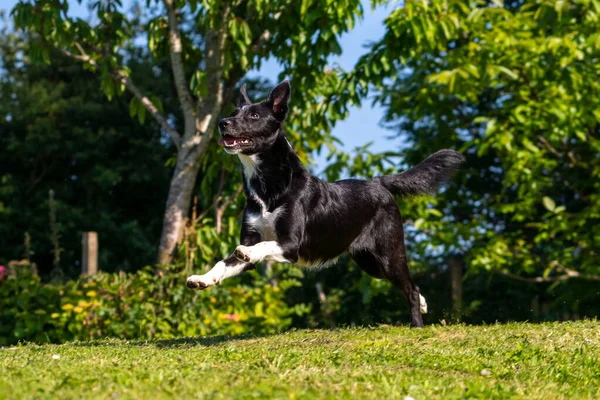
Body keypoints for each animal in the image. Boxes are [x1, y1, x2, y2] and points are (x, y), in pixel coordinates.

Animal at [186, 79, 464, 326]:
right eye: (234, 112)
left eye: (254, 115)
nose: (222, 123)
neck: (269, 189)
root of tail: (379, 182)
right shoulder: (251, 237)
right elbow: (223, 263)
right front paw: (202, 279)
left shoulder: (290, 244)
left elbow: (260, 246)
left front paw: (246, 252)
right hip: (369, 261)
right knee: (410, 285)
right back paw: (425, 305)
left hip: (389, 253)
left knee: (410, 289)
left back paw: (417, 325)